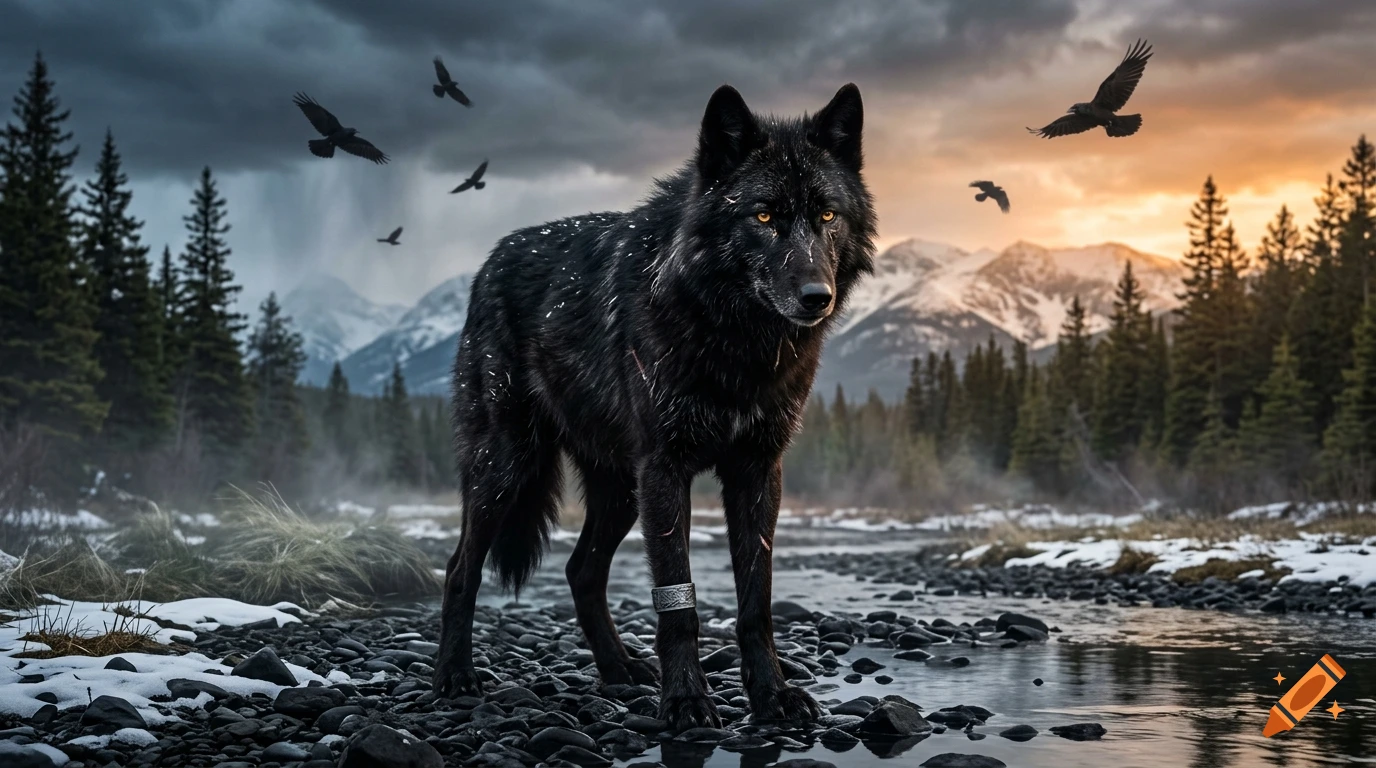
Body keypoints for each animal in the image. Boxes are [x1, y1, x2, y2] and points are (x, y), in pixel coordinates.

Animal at [435, 82, 876, 730]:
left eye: (826, 215)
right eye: (763, 216)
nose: (815, 296)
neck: (735, 342)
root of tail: (489, 261)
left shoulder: (757, 472)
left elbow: (756, 601)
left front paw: (771, 696)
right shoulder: (667, 470)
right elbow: (678, 602)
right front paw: (687, 700)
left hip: (620, 490)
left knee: (580, 572)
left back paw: (619, 669)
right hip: (508, 469)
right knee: (460, 569)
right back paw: (454, 676)